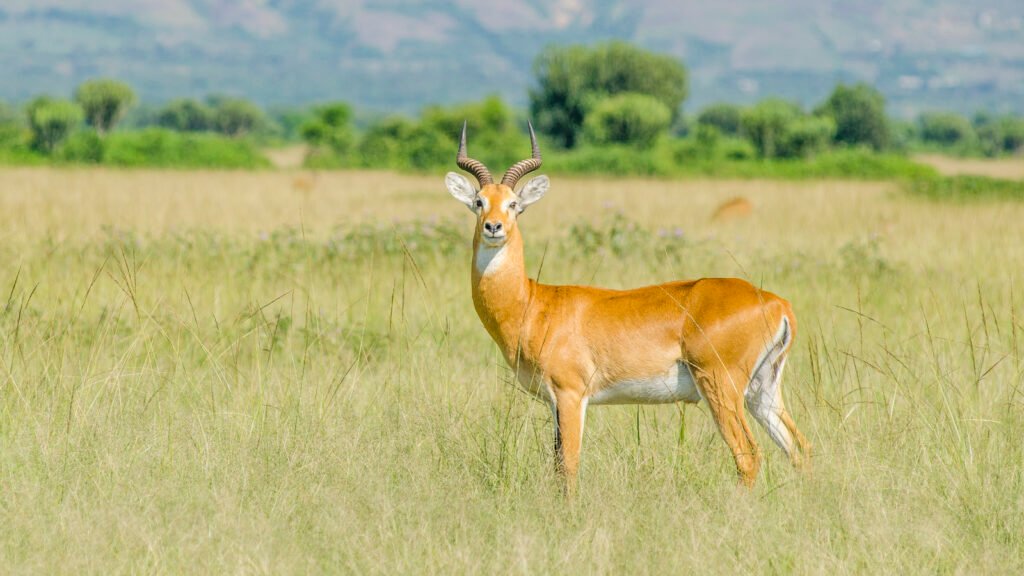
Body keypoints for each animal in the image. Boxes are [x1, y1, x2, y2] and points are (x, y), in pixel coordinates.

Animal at [444, 121, 811, 487]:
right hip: (762, 390)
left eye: (514, 204)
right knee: (799, 447)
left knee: (748, 454)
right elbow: (557, 465)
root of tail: (777, 303)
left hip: (721, 385)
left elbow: (569, 465)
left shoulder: (571, 394)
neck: (532, 304)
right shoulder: (553, 401)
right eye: (479, 201)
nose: (494, 227)